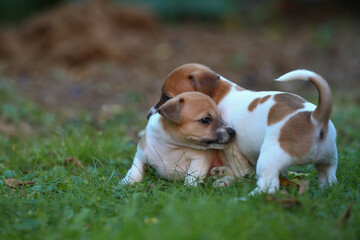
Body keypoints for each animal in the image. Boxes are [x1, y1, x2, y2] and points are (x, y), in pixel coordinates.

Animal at [147, 63, 338, 195]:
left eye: (166, 97)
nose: (148, 115)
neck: (222, 94)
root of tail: (315, 118)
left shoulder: (230, 146)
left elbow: (242, 170)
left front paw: (238, 178)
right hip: (328, 162)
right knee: (328, 179)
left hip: (270, 158)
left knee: (267, 186)